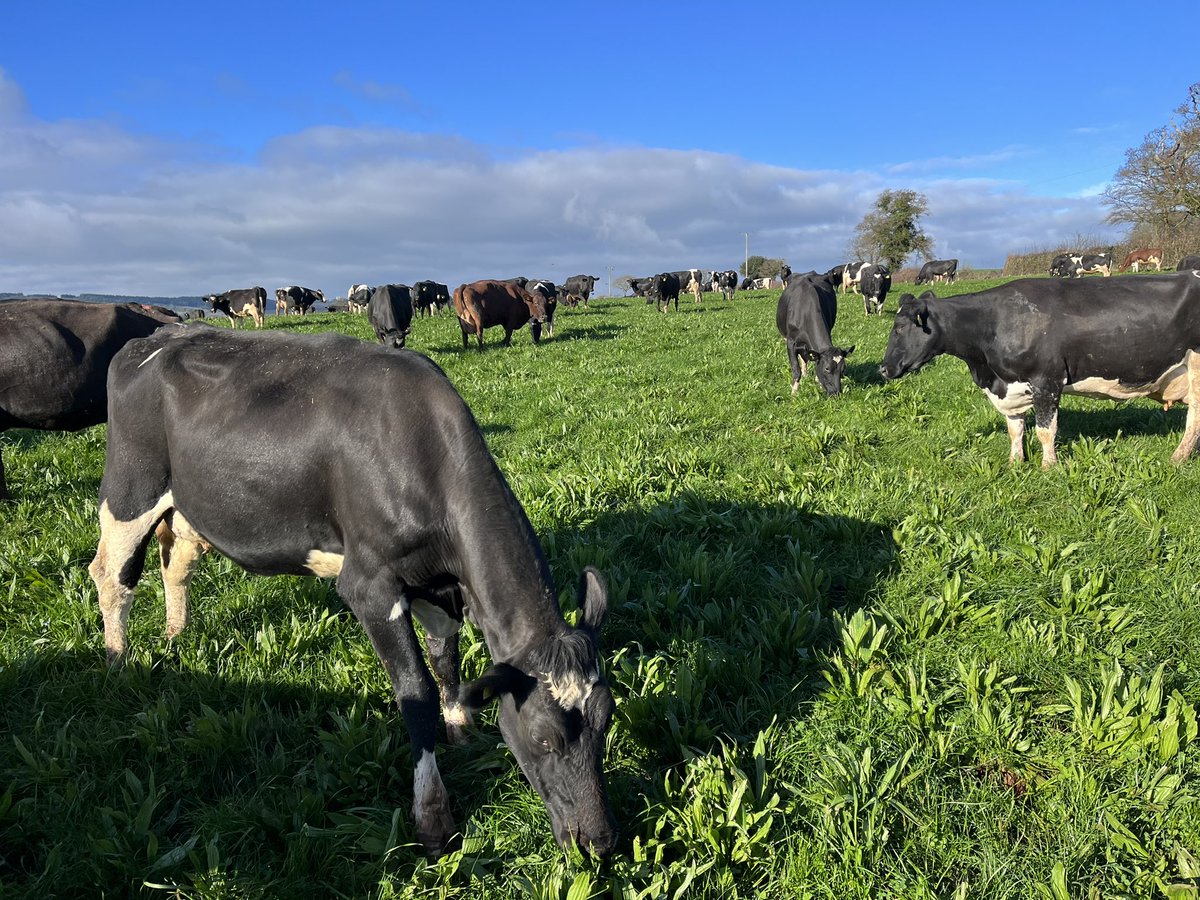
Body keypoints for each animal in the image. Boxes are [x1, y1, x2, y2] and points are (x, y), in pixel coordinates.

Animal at [88, 328, 619, 859]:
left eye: (607, 719)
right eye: (544, 738)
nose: (599, 842)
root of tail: (155, 336)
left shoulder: (437, 583)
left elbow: (445, 659)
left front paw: (460, 727)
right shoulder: (370, 585)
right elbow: (416, 692)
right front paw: (433, 817)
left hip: (188, 506)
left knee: (175, 562)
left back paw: (175, 634)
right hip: (130, 490)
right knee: (111, 576)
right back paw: (118, 660)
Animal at [878, 273, 1200, 472]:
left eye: (900, 327)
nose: (883, 368)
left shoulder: (1047, 380)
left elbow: (1046, 430)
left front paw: (1048, 467)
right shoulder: (1010, 387)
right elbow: (1015, 429)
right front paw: (1015, 463)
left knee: (1194, 418)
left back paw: (1177, 458)